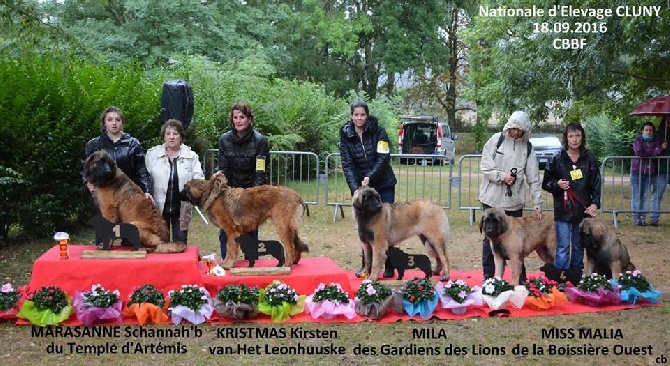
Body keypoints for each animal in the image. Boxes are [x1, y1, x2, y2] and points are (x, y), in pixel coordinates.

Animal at [181, 174, 312, 268]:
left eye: (184, 188)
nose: (178, 194)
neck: (210, 194)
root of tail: (296, 195)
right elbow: (229, 248)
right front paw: (226, 263)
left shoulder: (231, 232)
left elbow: (230, 248)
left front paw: (228, 264)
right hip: (289, 227)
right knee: (296, 244)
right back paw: (294, 261)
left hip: (282, 226)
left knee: (290, 247)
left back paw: (287, 265)